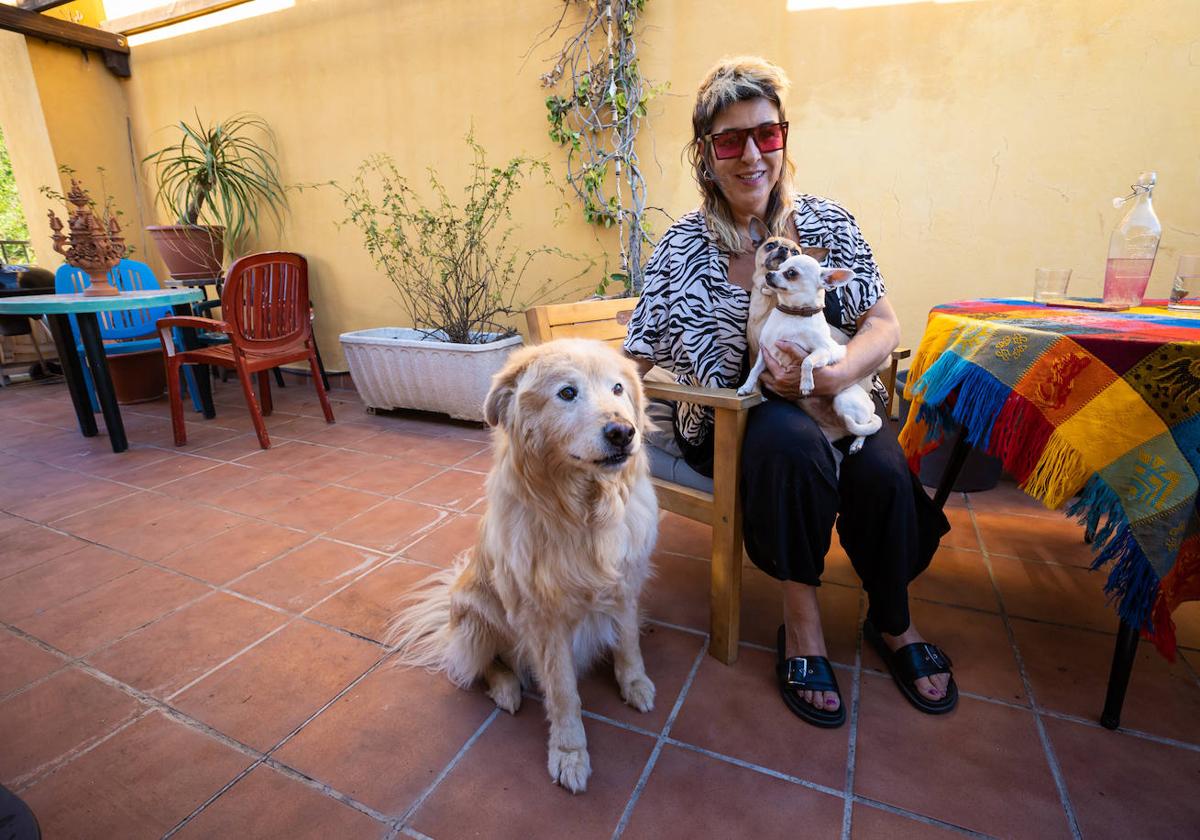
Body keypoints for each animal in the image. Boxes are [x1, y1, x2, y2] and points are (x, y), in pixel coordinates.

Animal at [386, 336, 657, 792]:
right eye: (567, 393)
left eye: (618, 388)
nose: (623, 432)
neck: (584, 513)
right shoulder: (545, 623)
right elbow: (564, 693)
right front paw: (569, 752)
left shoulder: (624, 588)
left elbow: (629, 645)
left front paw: (635, 684)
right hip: (477, 616)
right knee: (478, 666)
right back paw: (506, 689)